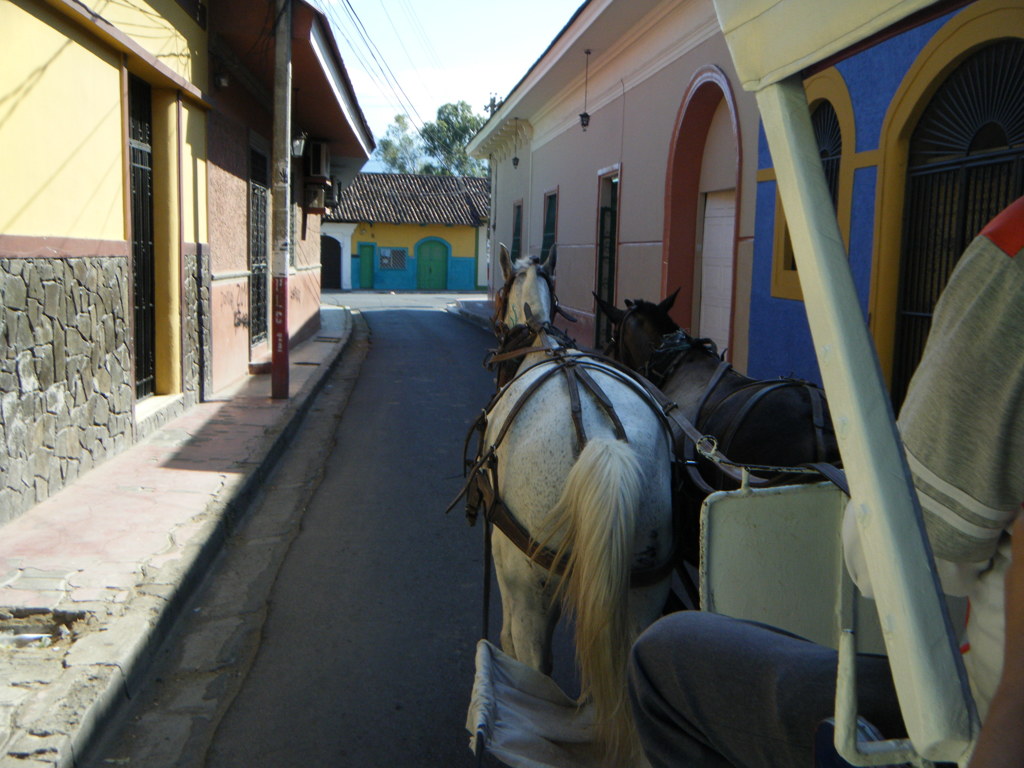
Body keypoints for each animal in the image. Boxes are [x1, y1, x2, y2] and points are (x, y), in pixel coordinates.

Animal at [483, 244, 675, 765]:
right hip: (645, 587)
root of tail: (603, 443)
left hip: (530, 580)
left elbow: (507, 636)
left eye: (498, 296)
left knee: (536, 668)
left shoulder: (507, 562)